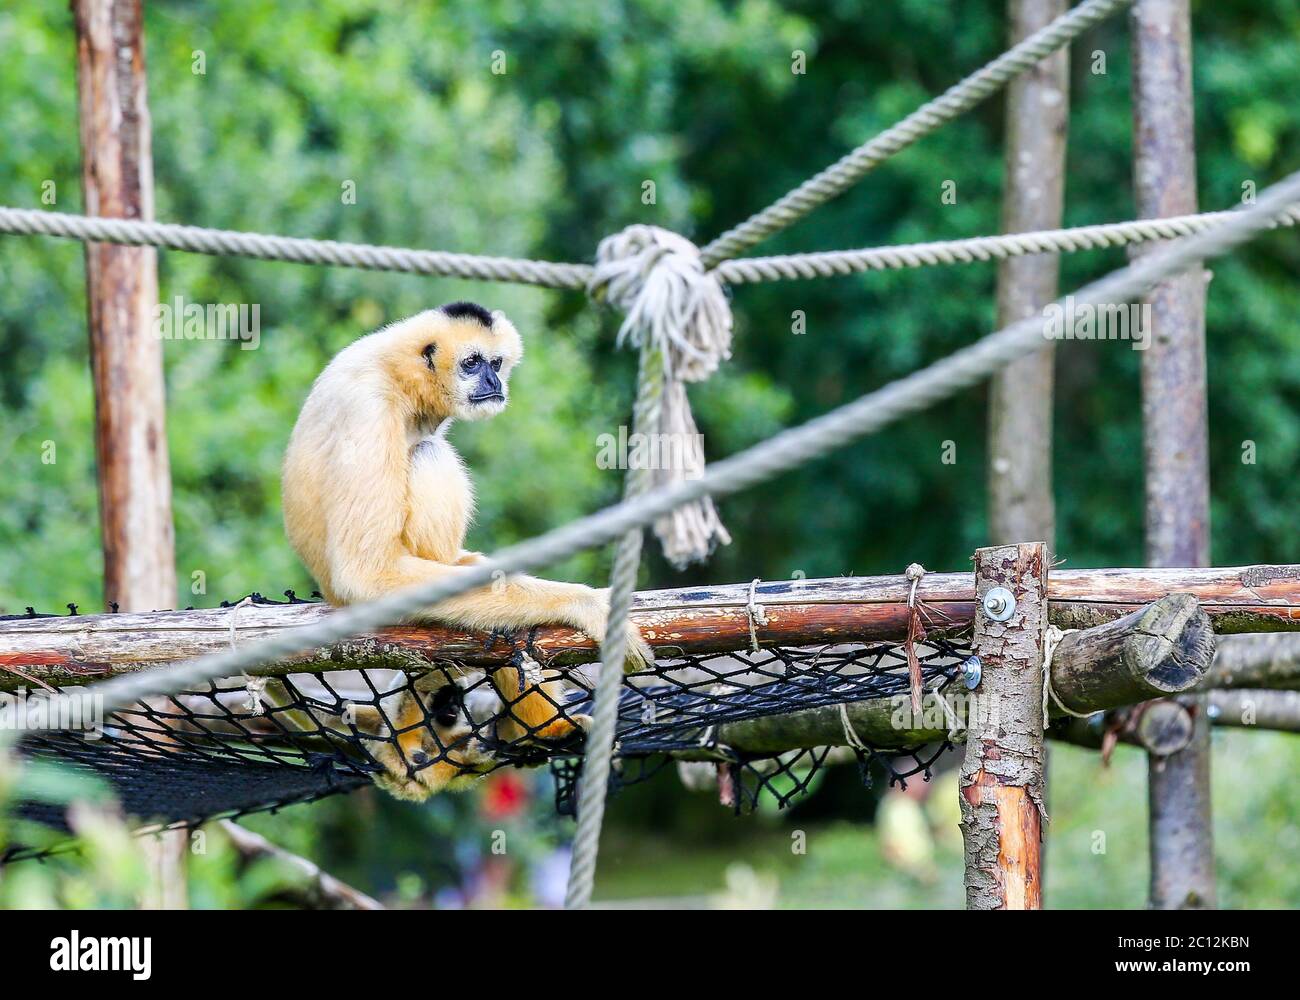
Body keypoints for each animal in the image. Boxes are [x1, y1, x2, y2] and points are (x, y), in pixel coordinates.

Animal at [282, 300, 650, 801]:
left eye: (495, 363)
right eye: (472, 363)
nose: (493, 381)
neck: (397, 372)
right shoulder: (368, 408)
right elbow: (368, 572)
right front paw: (584, 603)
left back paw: (544, 734)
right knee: (429, 454)